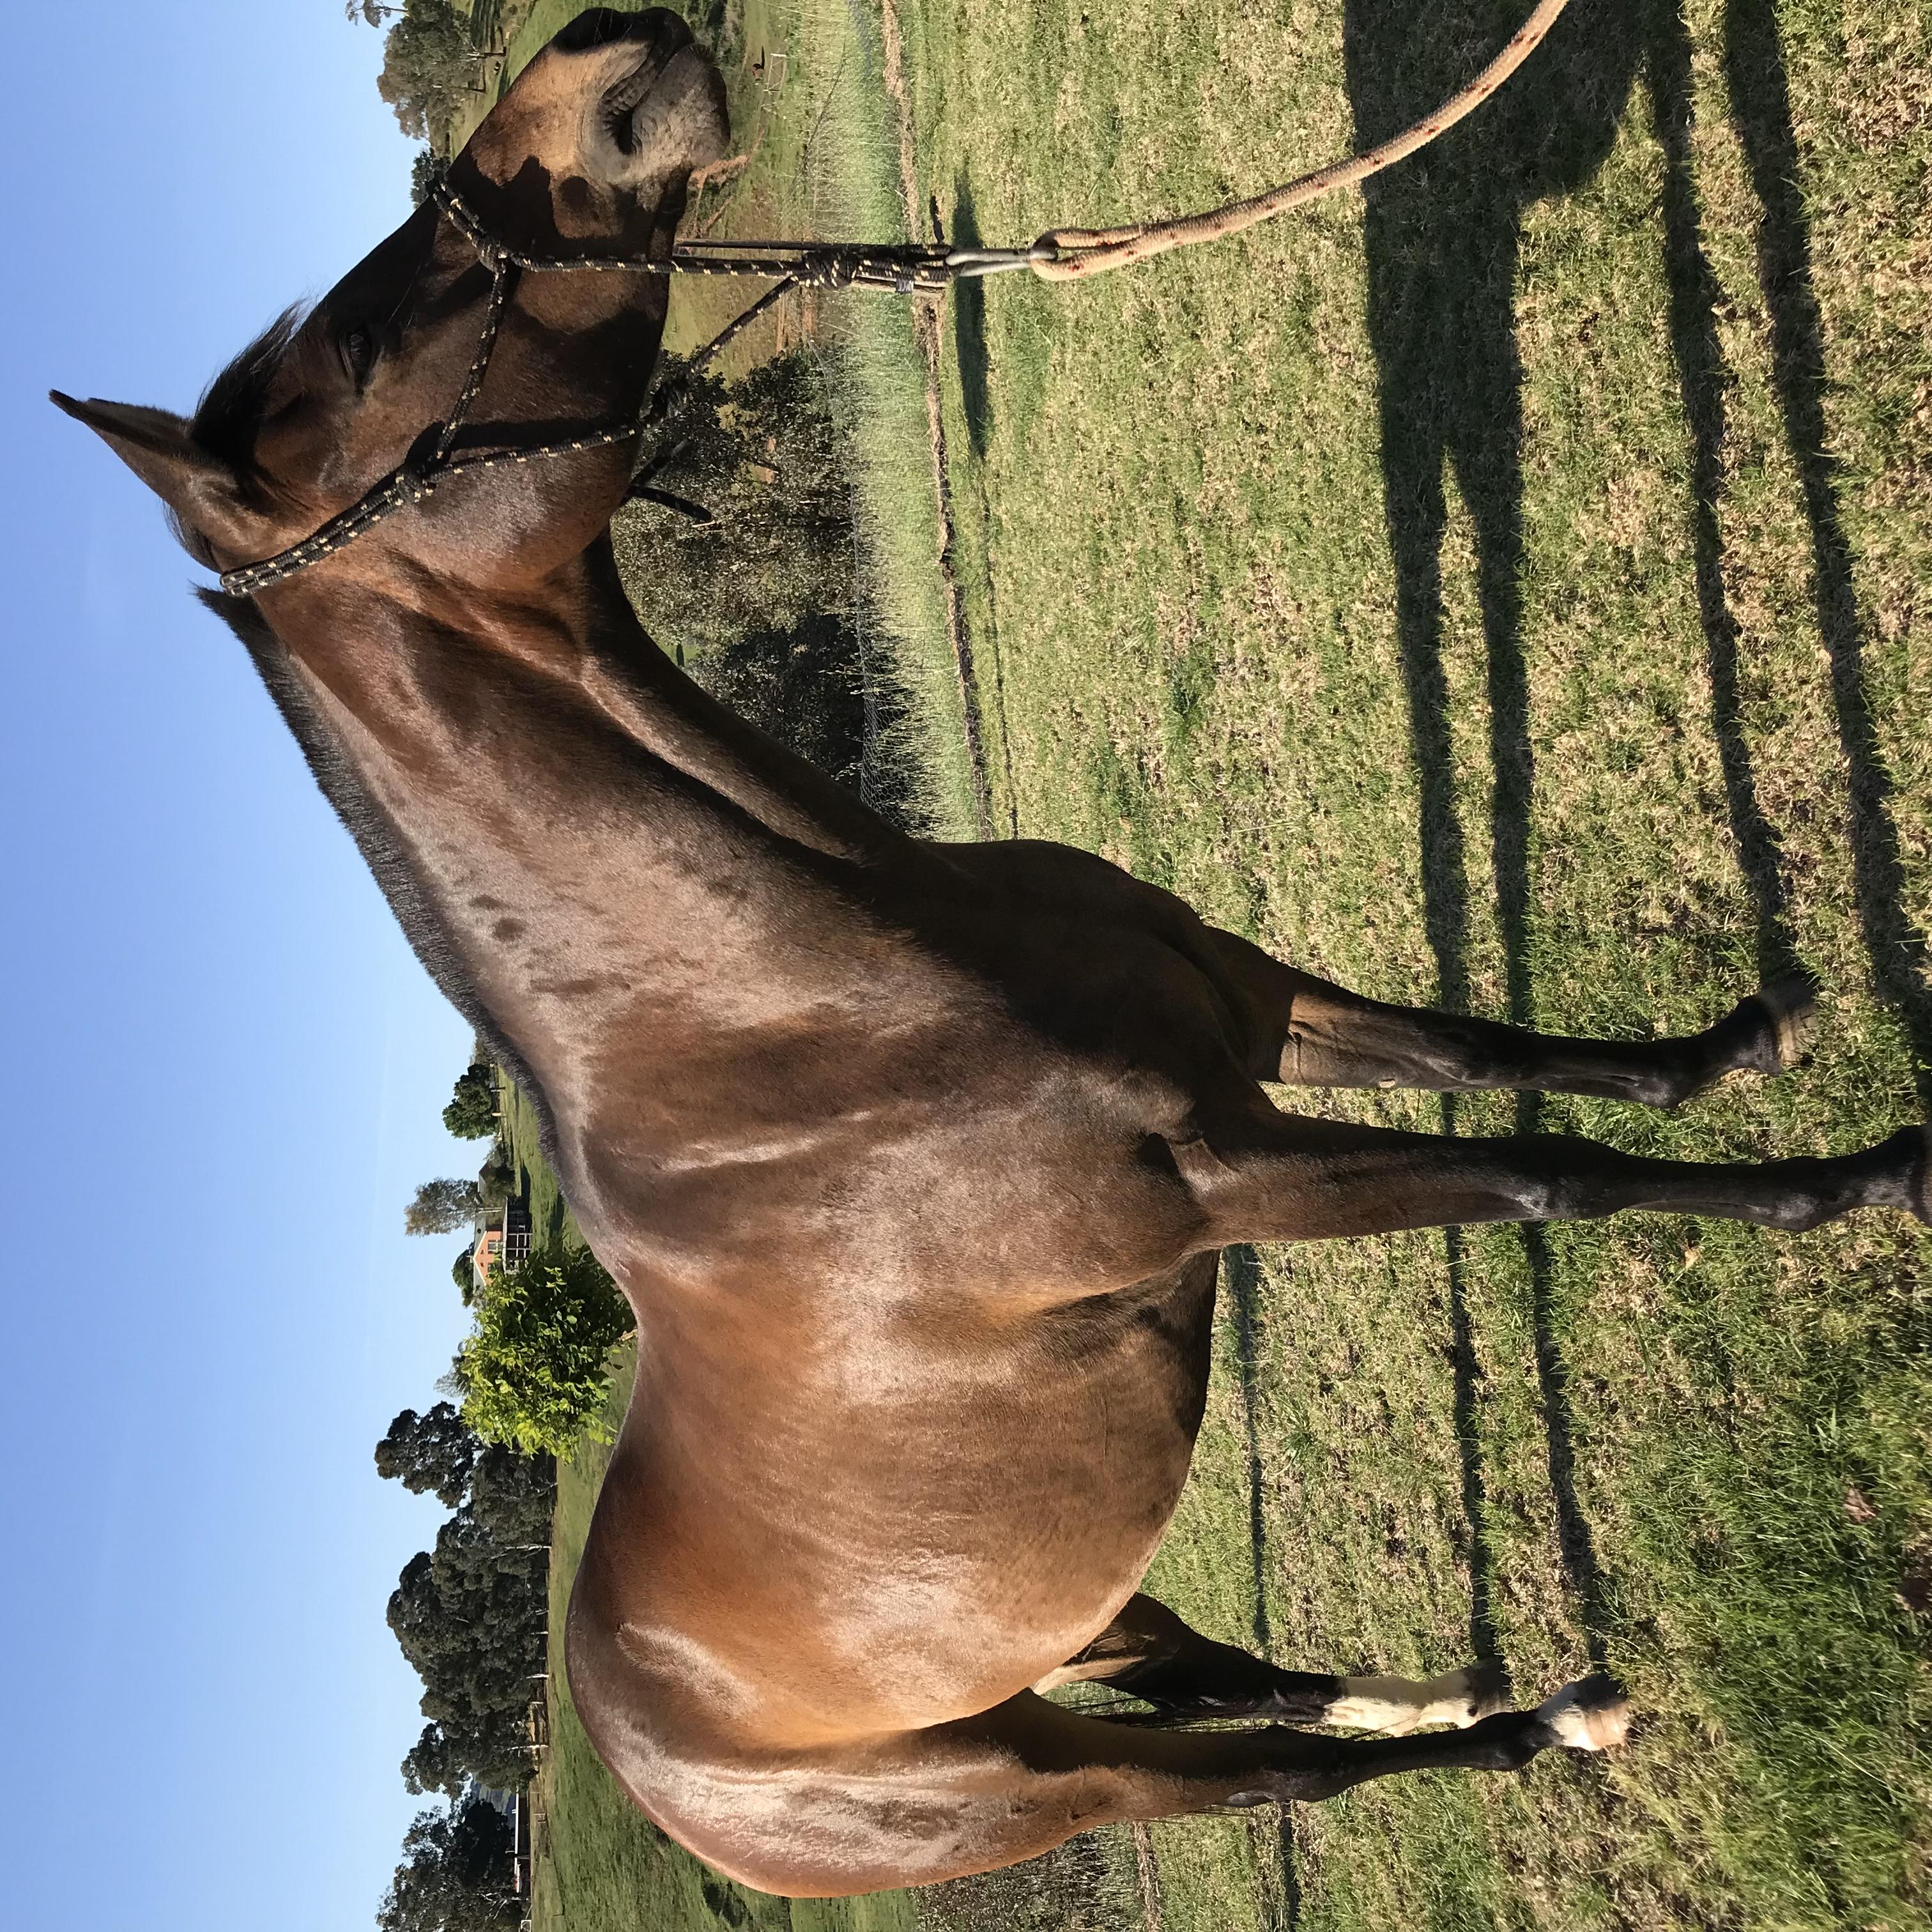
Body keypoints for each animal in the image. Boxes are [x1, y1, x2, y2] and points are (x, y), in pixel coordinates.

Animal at [55, 7, 1928, 1898]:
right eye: (367, 348)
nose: (605, 50)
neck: (804, 1003)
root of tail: (655, 1763)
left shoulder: (1249, 1010)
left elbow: (1503, 1060)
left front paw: (1746, 1044)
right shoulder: (1230, 1171)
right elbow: (1563, 1179)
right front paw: (1858, 1182)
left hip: (1080, 1620)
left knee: (1250, 1684)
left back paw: (1506, 1701)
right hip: (1035, 1775)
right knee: (1261, 1772)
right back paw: (1527, 1728)